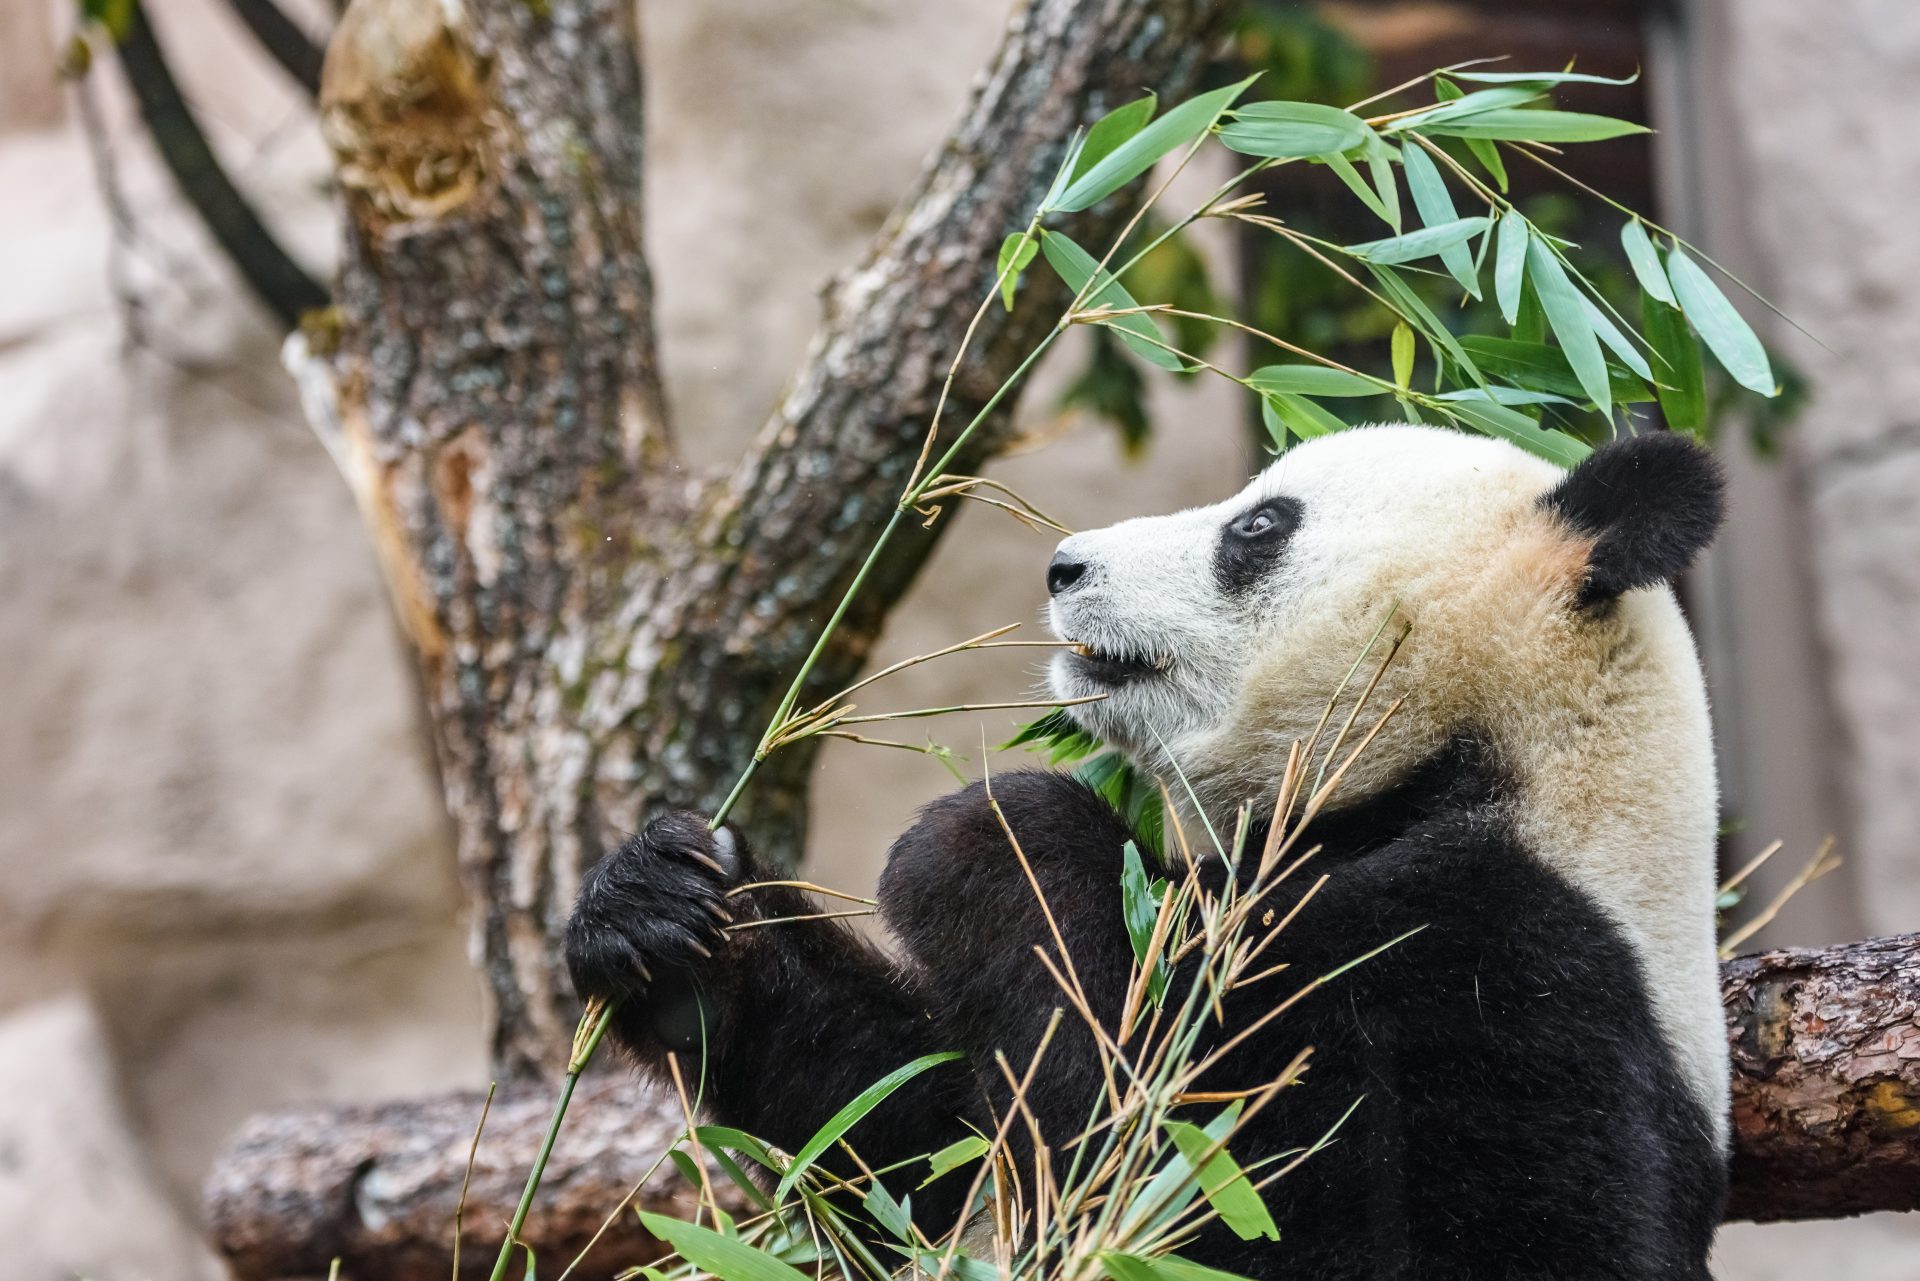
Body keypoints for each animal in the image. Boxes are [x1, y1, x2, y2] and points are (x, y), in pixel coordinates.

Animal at [560, 428, 1735, 1281]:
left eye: (1257, 525)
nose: (1062, 564)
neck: (1479, 765)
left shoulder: (1520, 963)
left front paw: (987, 837)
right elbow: (916, 1147)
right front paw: (663, 909)